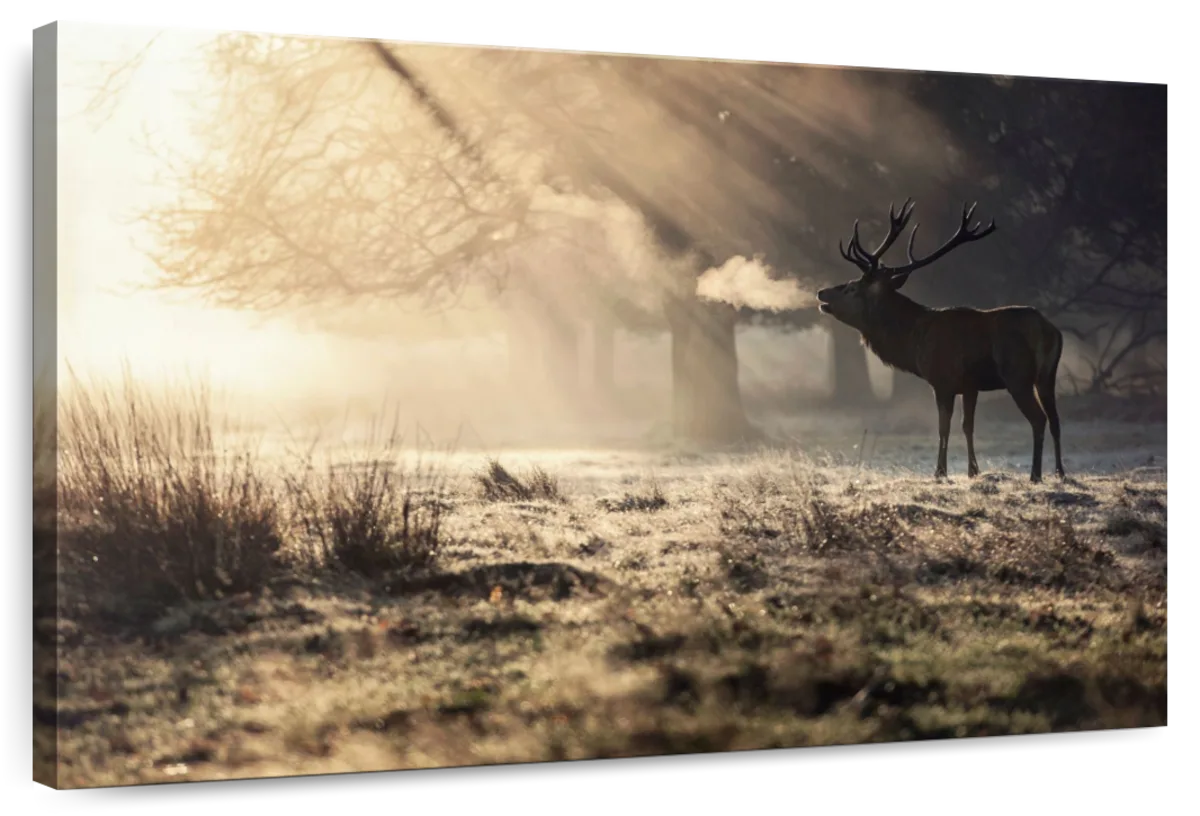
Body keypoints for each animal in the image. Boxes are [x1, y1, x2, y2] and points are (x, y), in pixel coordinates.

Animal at [816, 199, 1066, 483]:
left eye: (852, 288)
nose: (821, 292)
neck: (913, 341)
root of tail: (1048, 331)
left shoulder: (941, 380)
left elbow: (943, 427)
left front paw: (940, 472)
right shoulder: (970, 385)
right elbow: (968, 426)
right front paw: (972, 471)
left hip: (1018, 375)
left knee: (1039, 419)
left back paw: (1036, 475)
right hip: (1048, 375)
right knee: (1056, 419)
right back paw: (1060, 472)